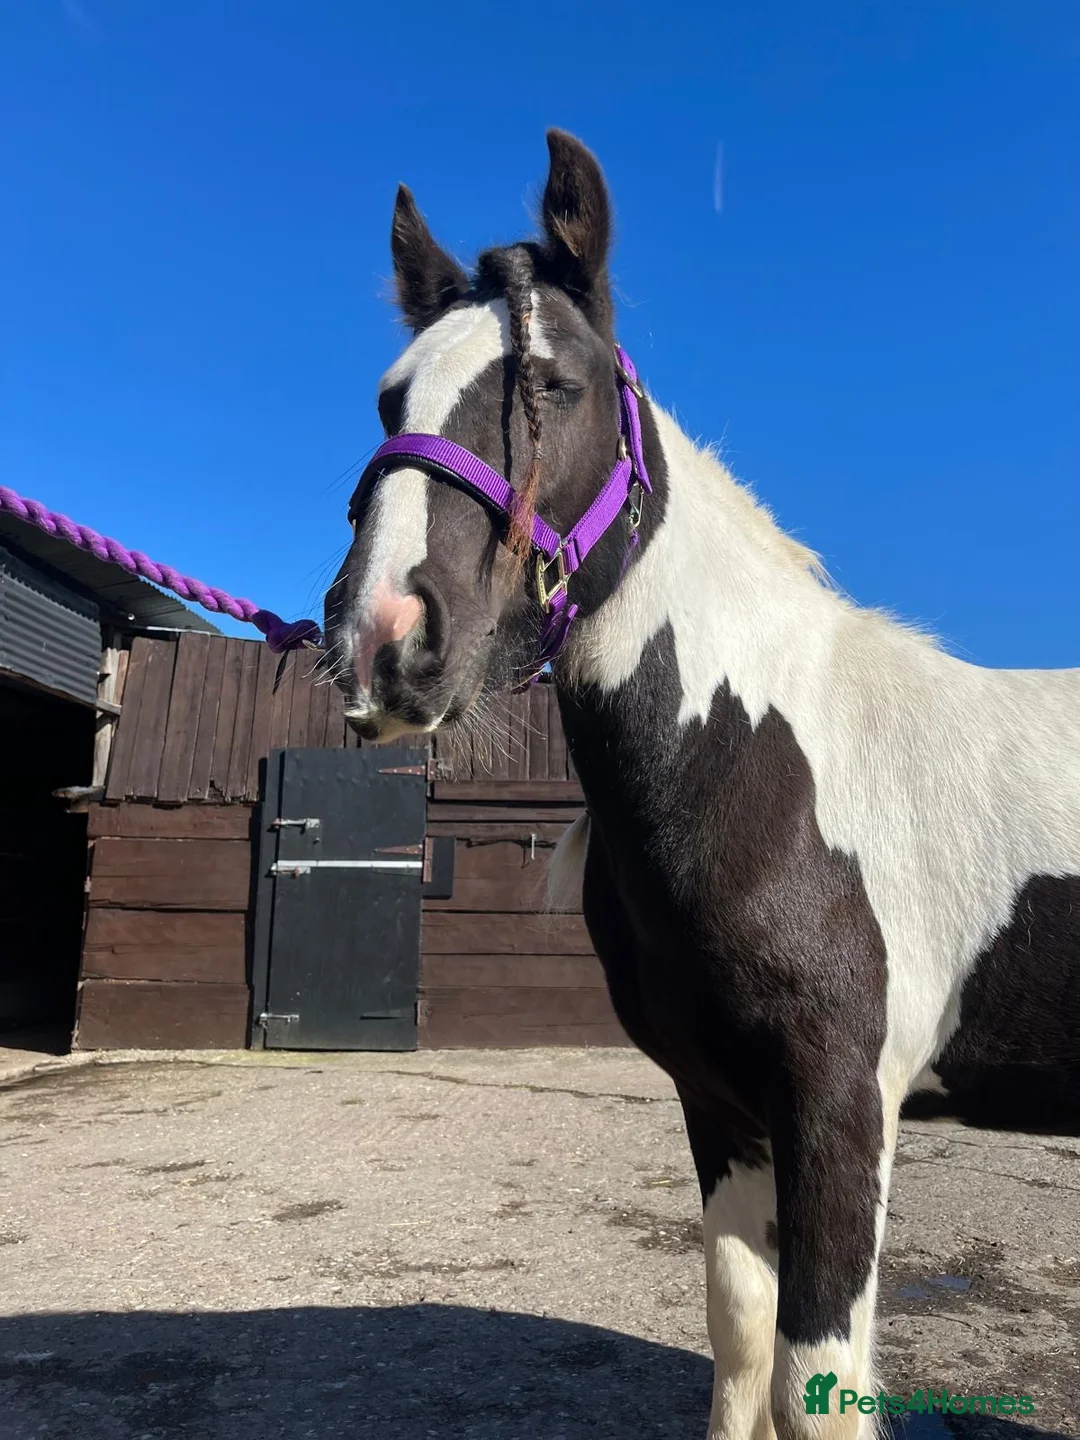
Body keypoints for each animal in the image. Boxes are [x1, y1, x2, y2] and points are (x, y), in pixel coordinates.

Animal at [324, 130, 1080, 1440]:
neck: (771, 768)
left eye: (556, 384)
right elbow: (739, 1340)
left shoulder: (839, 1110)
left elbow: (814, 1382)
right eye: (388, 398)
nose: (386, 641)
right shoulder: (723, 1110)